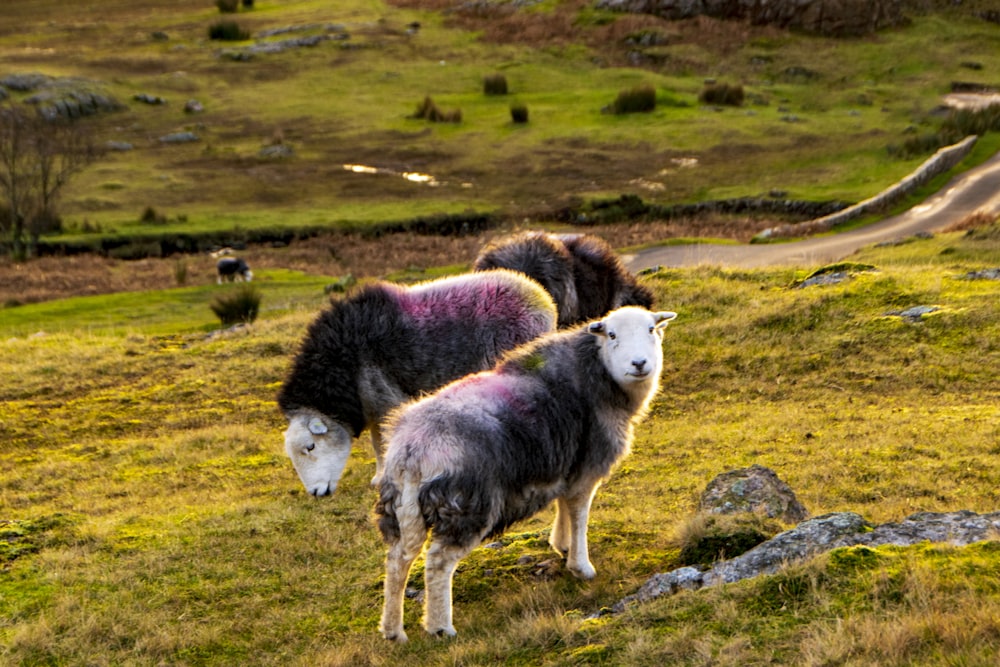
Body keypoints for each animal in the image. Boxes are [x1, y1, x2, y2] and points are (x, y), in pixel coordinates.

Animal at [278, 270, 560, 496]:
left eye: (310, 446)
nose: (316, 493)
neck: (342, 362)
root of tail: (543, 301)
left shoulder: (384, 397)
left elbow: (383, 441)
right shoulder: (372, 403)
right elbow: (376, 441)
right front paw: (378, 477)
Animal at [376, 306, 680, 640]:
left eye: (651, 329)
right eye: (611, 335)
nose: (639, 364)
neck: (598, 372)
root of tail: (412, 448)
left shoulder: (565, 463)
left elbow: (563, 504)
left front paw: (561, 545)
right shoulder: (587, 468)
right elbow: (579, 514)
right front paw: (580, 565)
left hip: (402, 508)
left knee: (397, 560)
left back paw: (393, 630)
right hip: (467, 505)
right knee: (438, 562)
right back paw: (440, 626)